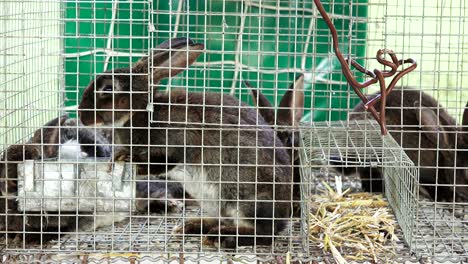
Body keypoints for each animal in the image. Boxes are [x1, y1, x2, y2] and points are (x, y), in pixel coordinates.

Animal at [79, 37, 294, 248]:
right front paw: (116, 158)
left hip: (244, 198)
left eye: (108, 88)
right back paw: (193, 226)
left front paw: (128, 161)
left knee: (263, 233)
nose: (82, 116)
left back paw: (222, 237)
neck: (141, 113)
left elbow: (158, 163)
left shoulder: (173, 144)